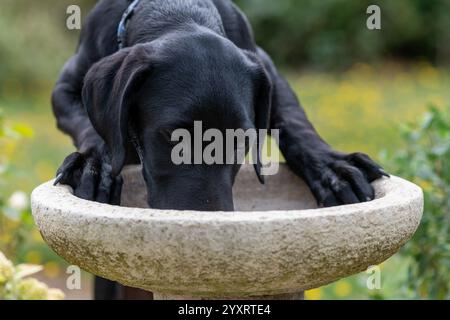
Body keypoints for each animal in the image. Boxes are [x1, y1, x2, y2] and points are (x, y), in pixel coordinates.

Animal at [50, 0, 386, 298]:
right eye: (172, 135)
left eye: (241, 140)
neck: (176, 11)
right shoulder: (66, 87)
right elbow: (89, 127)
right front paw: (94, 167)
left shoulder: (266, 68)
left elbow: (293, 118)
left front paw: (332, 169)